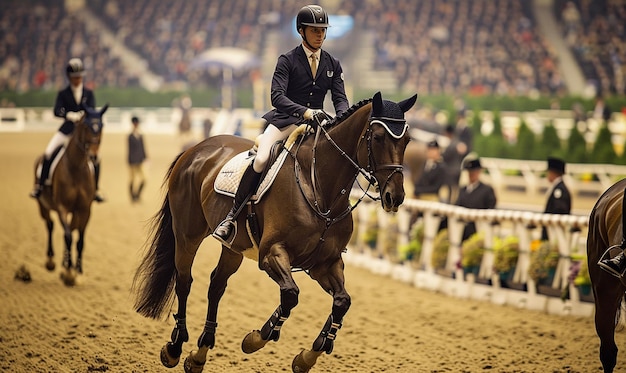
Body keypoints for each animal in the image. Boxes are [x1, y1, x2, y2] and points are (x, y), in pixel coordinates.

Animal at [35, 104, 107, 284]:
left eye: (101, 126)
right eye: (87, 127)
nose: (93, 156)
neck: (77, 167)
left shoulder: (85, 210)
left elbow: (80, 239)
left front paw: (77, 270)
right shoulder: (62, 207)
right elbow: (68, 236)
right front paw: (68, 272)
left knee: (70, 229)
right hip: (43, 206)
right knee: (50, 225)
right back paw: (52, 261)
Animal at [132, 91, 414, 370]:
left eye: (407, 140)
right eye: (377, 137)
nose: (395, 197)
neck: (320, 188)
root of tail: (195, 149)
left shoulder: (325, 263)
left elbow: (342, 302)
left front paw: (309, 355)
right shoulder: (272, 253)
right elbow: (290, 295)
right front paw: (256, 339)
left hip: (234, 247)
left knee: (216, 285)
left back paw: (199, 354)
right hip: (187, 235)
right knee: (184, 281)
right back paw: (174, 348)